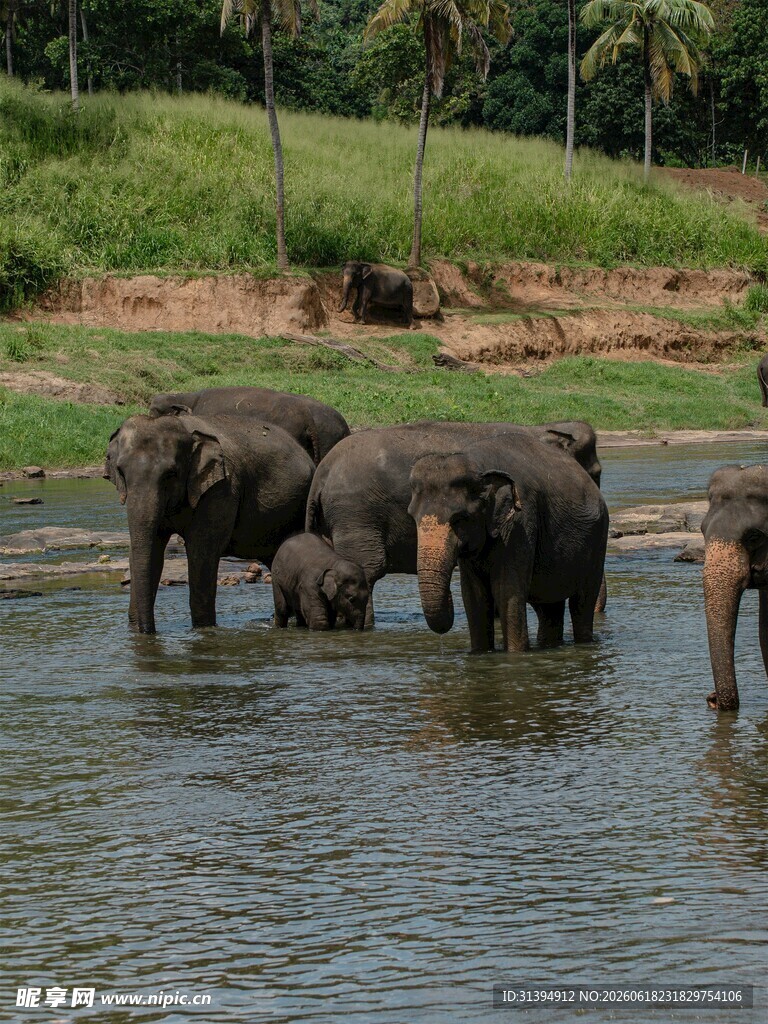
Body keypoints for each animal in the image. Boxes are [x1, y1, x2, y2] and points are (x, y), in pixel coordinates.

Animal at [104, 414, 314, 633]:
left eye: (171, 474)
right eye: (120, 471)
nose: (149, 631)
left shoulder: (221, 489)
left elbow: (201, 553)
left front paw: (204, 629)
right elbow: (152, 552)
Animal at [408, 438, 608, 651]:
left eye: (460, 518)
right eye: (412, 517)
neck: (478, 464)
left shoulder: (521, 523)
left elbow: (506, 591)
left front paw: (515, 654)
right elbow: (474, 597)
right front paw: (480, 652)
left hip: (597, 542)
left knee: (582, 604)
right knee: (549, 608)